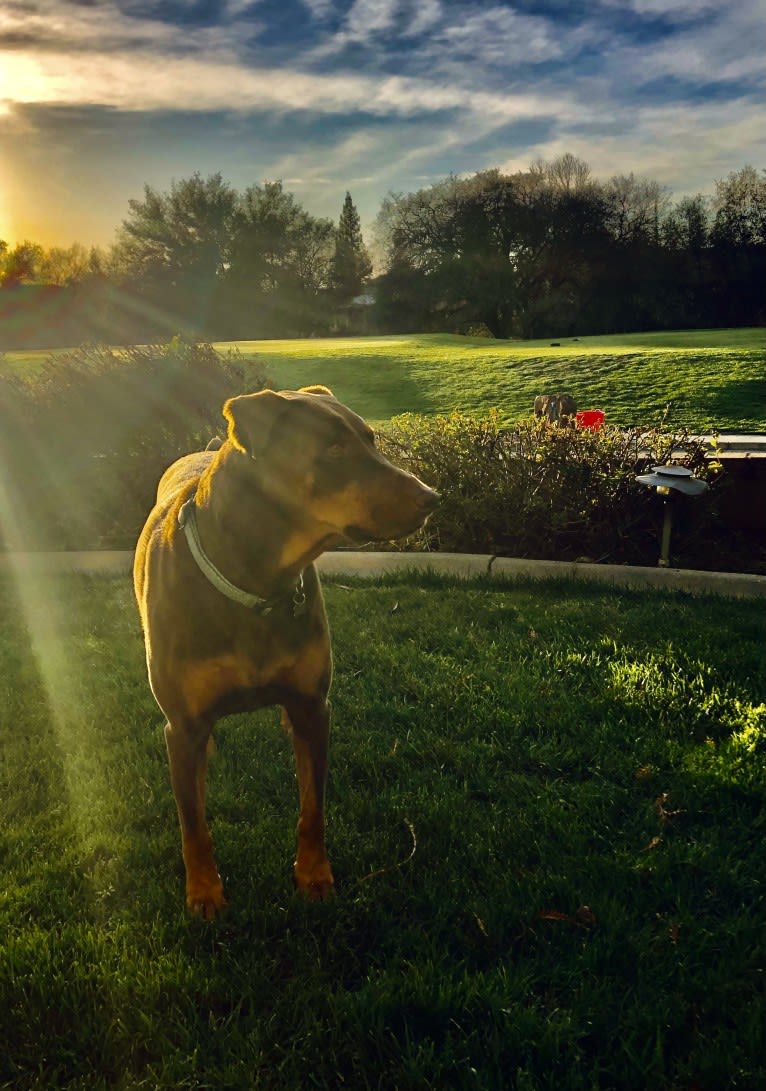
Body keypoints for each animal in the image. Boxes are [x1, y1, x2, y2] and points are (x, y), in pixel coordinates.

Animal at [133, 388, 438, 916]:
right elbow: (193, 821)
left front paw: (314, 876)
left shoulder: (313, 705)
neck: (259, 583)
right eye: (334, 449)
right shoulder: (183, 723)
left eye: (371, 439)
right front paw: (204, 892)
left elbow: (312, 805)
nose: (432, 497)